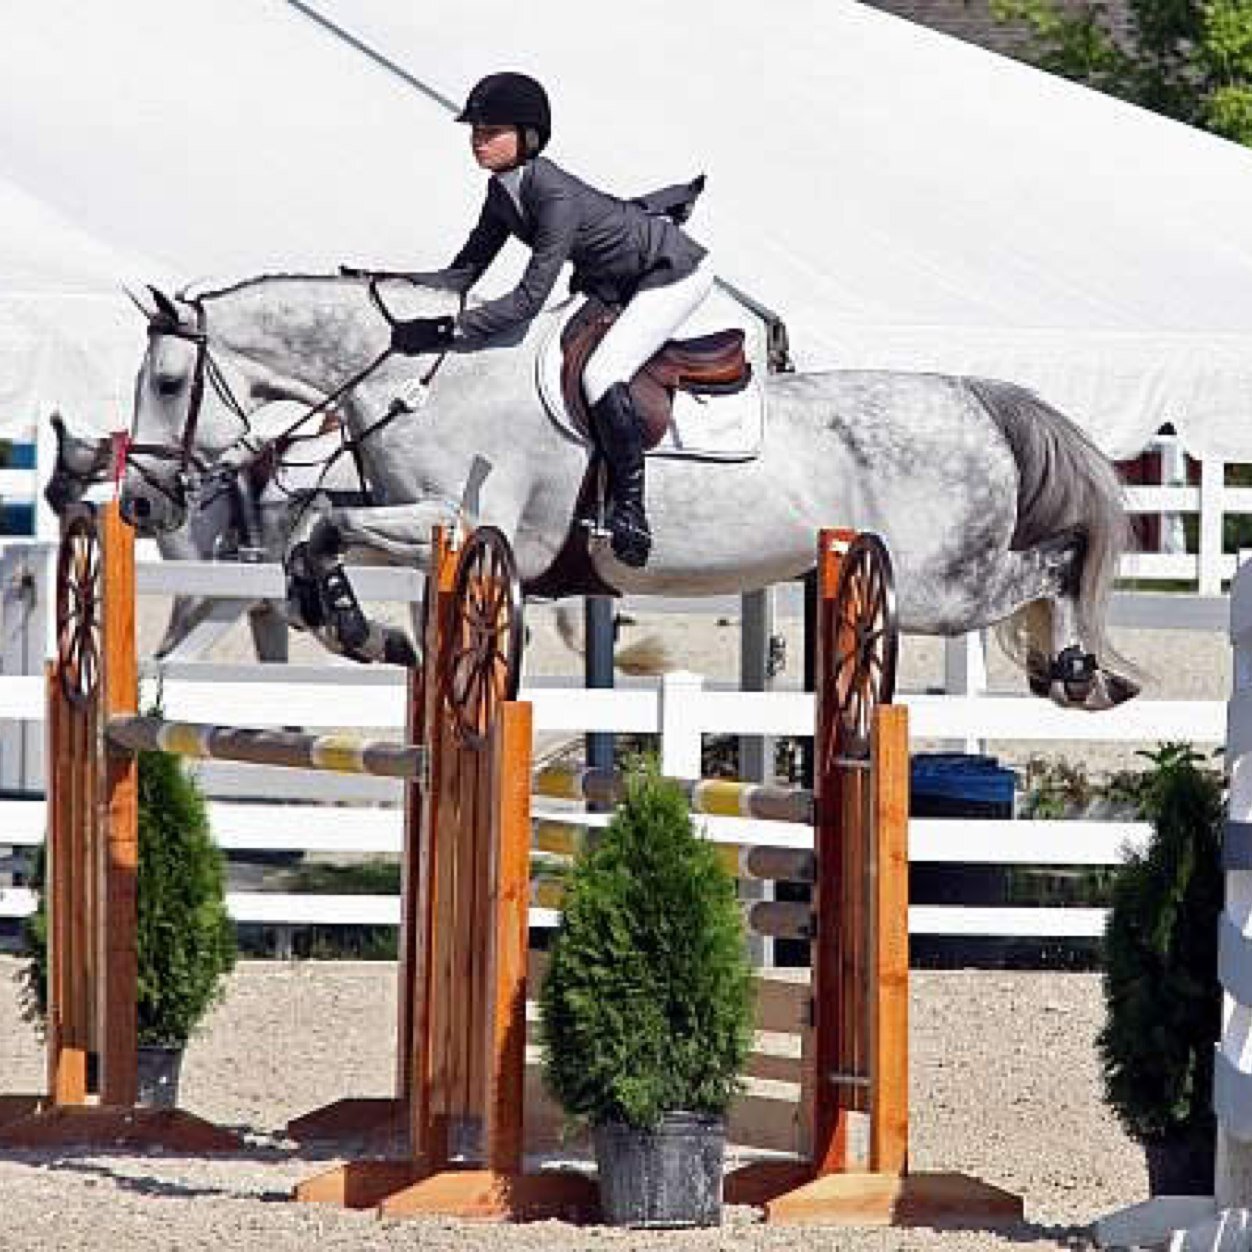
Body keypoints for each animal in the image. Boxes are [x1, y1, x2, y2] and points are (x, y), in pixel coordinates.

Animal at [121, 275, 1138, 710]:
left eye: (167, 383)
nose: (141, 505)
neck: (428, 377)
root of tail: (973, 395)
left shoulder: (466, 523)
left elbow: (327, 522)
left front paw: (355, 626)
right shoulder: (430, 532)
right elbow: (316, 536)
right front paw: (358, 629)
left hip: (937, 588)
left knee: (1057, 564)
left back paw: (1086, 671)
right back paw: (1064, 670)